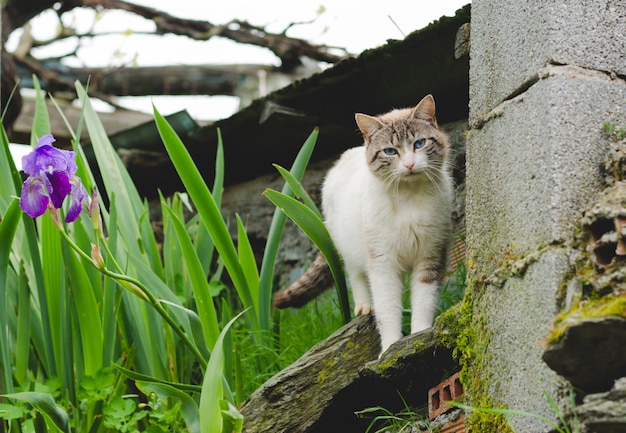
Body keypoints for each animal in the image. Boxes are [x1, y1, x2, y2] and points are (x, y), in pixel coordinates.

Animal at [276, 94, 450, 354]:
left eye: (419, 144)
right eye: (390, 151)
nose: (410, 164)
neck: (409, 197)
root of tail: (347, 153)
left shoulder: (430, 257)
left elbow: (423, 302)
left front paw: (420, 337)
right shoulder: (383, 262)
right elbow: (387, 309)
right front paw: (390, 348)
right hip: (347, 246)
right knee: (355, 275)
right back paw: (364, 307)